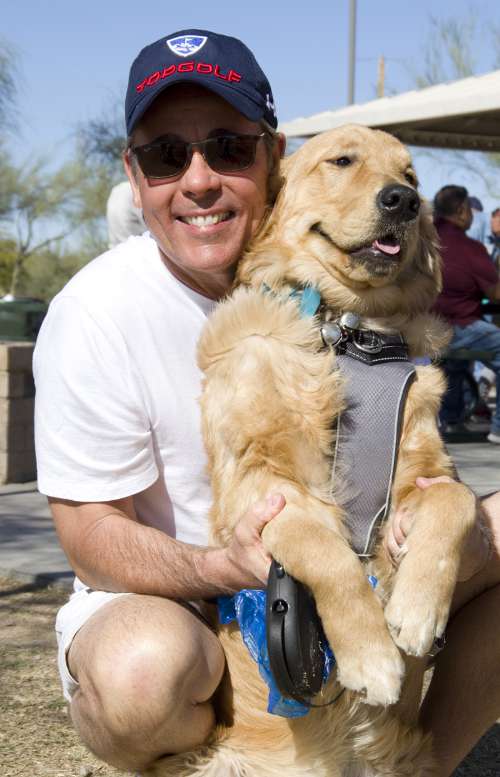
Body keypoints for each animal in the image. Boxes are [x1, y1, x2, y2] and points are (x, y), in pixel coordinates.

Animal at [145, 125, 477, 777]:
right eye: (341, 160)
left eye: (411, 175)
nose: (403, 201)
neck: (347, 330)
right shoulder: (264, 487)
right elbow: (328, 554)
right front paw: (372, 656)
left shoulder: (427, 469)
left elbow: (458, 502)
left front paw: (418, 610)